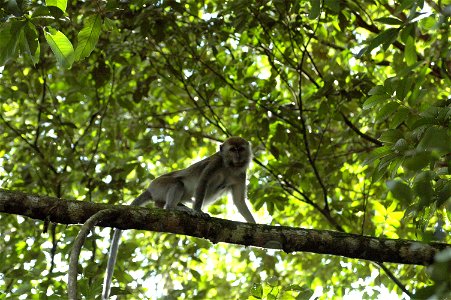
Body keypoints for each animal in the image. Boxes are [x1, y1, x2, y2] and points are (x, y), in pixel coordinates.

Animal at [103, 137, 258, 298]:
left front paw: (253, 223)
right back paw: (176, 208)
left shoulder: (241, 175)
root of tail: (150, 189)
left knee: (162, 201)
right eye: (232, 150)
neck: (230, 166)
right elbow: (202, 182)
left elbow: (239, 202)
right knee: (177, 184)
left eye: (241, 149)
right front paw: (198, 211)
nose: (238, 157)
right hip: (160, 185)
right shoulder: (215, 163)